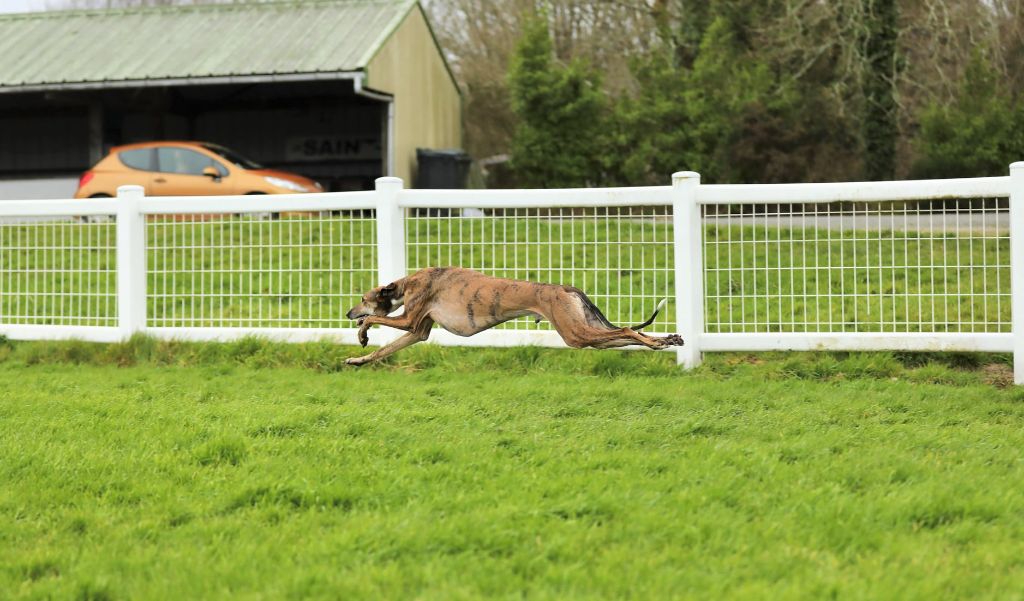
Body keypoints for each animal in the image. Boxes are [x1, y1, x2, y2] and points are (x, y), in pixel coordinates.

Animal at [342, 268, 679, 366]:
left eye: (363, 299)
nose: (347, 312)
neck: (408, 283)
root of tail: (567, 288)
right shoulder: (418, 331)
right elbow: (384, 351)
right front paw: (357, 360)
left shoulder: (409, 320)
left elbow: (374, 321)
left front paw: (362, 333)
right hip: (586, 329)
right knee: (629, 333)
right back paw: (666, 339)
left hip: (576, 334)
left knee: (627, 330)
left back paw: (661, 342)